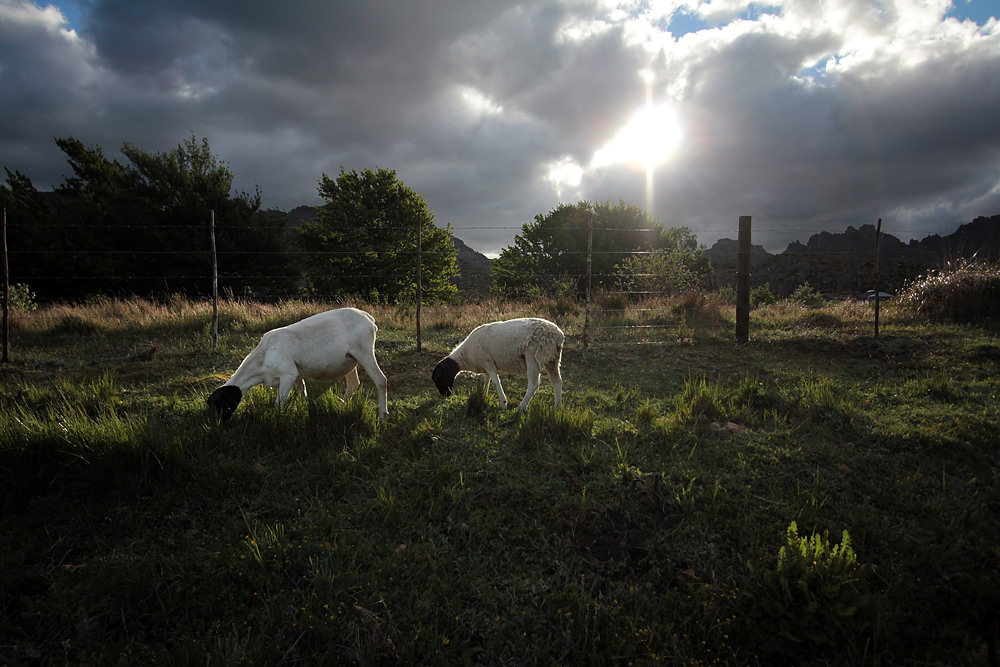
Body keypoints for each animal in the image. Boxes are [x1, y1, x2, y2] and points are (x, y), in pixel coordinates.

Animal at [207, 307, 388, 421]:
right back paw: (342, 405)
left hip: (364, 351)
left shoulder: (288, 374)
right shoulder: (296, 375)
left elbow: (279, 404)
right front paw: (304, 413)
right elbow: (303, 395)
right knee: (353, 384)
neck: (262, 358)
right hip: (350, 359)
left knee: (381, 380)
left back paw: (382, 415)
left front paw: (277, 422)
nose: (221, 424)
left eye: (223, 404)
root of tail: (369, 318)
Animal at [432, 317, 564, 411]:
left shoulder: (488, 363)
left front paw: (503, 403)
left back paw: (521, 408)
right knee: (557, 381)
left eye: (439, 378)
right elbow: (487, 380)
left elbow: (496, 381)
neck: (466, 355)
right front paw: (483, 395)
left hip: (533, 356)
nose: (446, 395)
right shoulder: (485, 366)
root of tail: (558, 335)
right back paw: (557, 407)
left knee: (533, 384)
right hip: (552, 359)